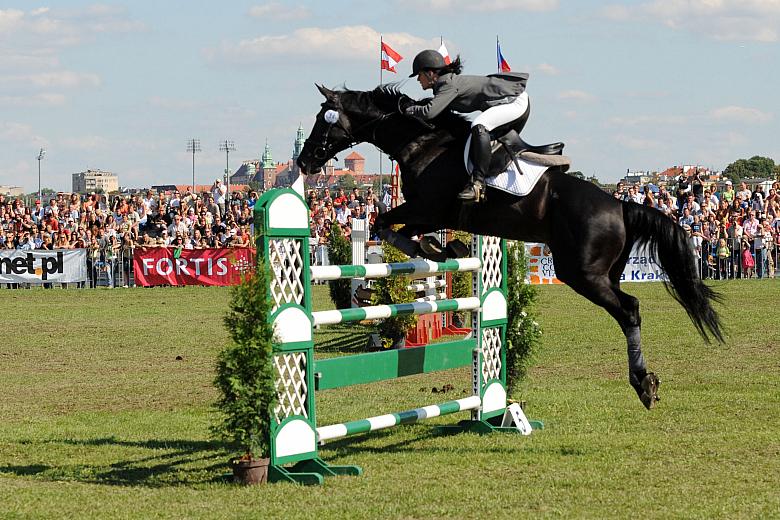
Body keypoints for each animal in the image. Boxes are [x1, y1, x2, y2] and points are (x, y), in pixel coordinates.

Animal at [296, 84, 724, 410]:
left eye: (323, 118)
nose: (303, 161)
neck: (423, 143)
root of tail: (619, 204)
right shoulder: (431, 214)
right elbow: (401, 229)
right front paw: (443, 249)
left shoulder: (428, 206)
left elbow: (385, 223)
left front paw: (434, 251)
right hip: (606, 271)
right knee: (628, 306)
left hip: (581, 273)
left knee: (629, 309)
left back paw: (642, 383)